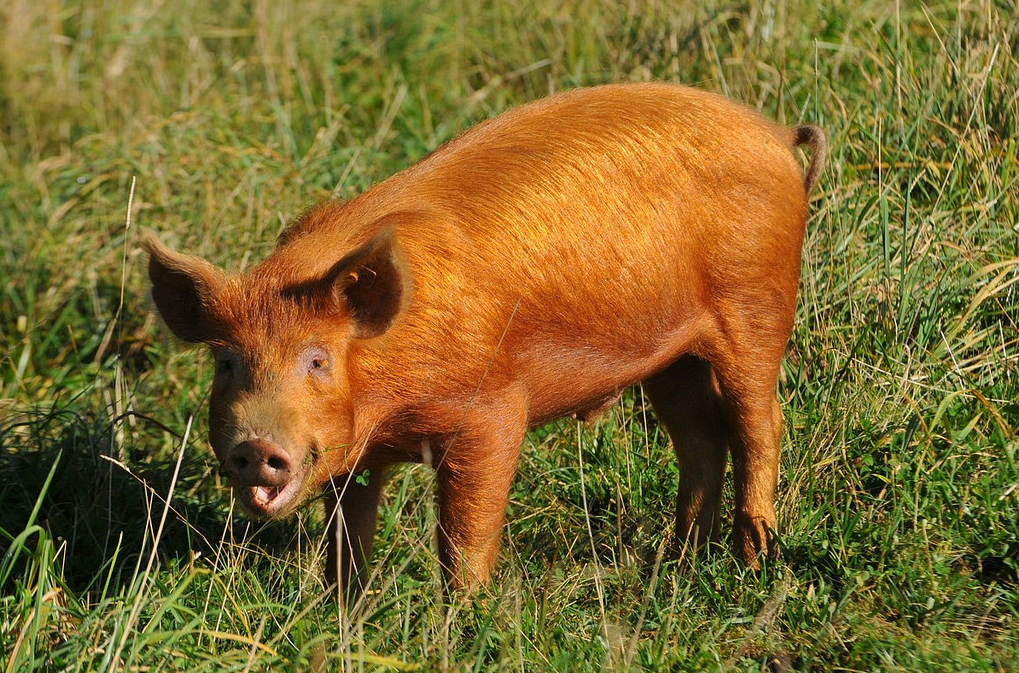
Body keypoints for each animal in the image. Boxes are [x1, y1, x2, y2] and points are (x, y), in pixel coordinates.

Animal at [144, 82, 825, 596]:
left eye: (317, 359)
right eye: (227, 364)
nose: (256, 445)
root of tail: (775, 135)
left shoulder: (491, 411)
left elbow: (465, 530)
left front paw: (464, 611)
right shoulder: (352, 452)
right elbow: (348, 531)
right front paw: (344, 611)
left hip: (757, 303)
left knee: (760, 421)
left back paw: (754, 559)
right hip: (672, 355)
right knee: (700, 438)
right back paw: (673, 564)